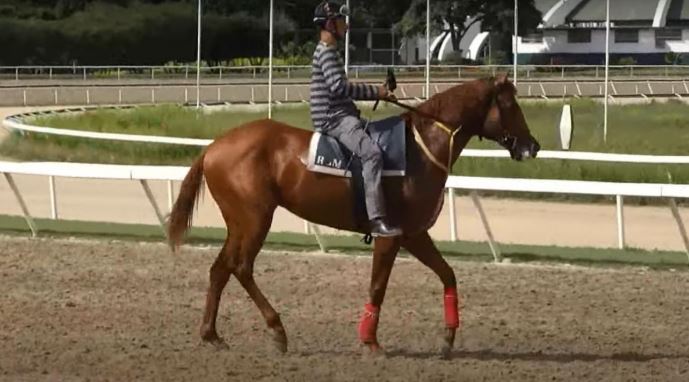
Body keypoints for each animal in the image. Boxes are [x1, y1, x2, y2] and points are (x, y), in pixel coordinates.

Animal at [165, 74, 536, 356]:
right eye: (509, 104)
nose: (532, 146)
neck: (419, 149)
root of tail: (213, 147)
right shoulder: (390, 235)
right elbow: (377, 287)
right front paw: (370, 341)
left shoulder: (414, 233)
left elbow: (448, 275)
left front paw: (447, 339)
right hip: (256, 219)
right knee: (241, 267)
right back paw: (278, 330)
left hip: (239, 223)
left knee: (220, 269)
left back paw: (212, 334)